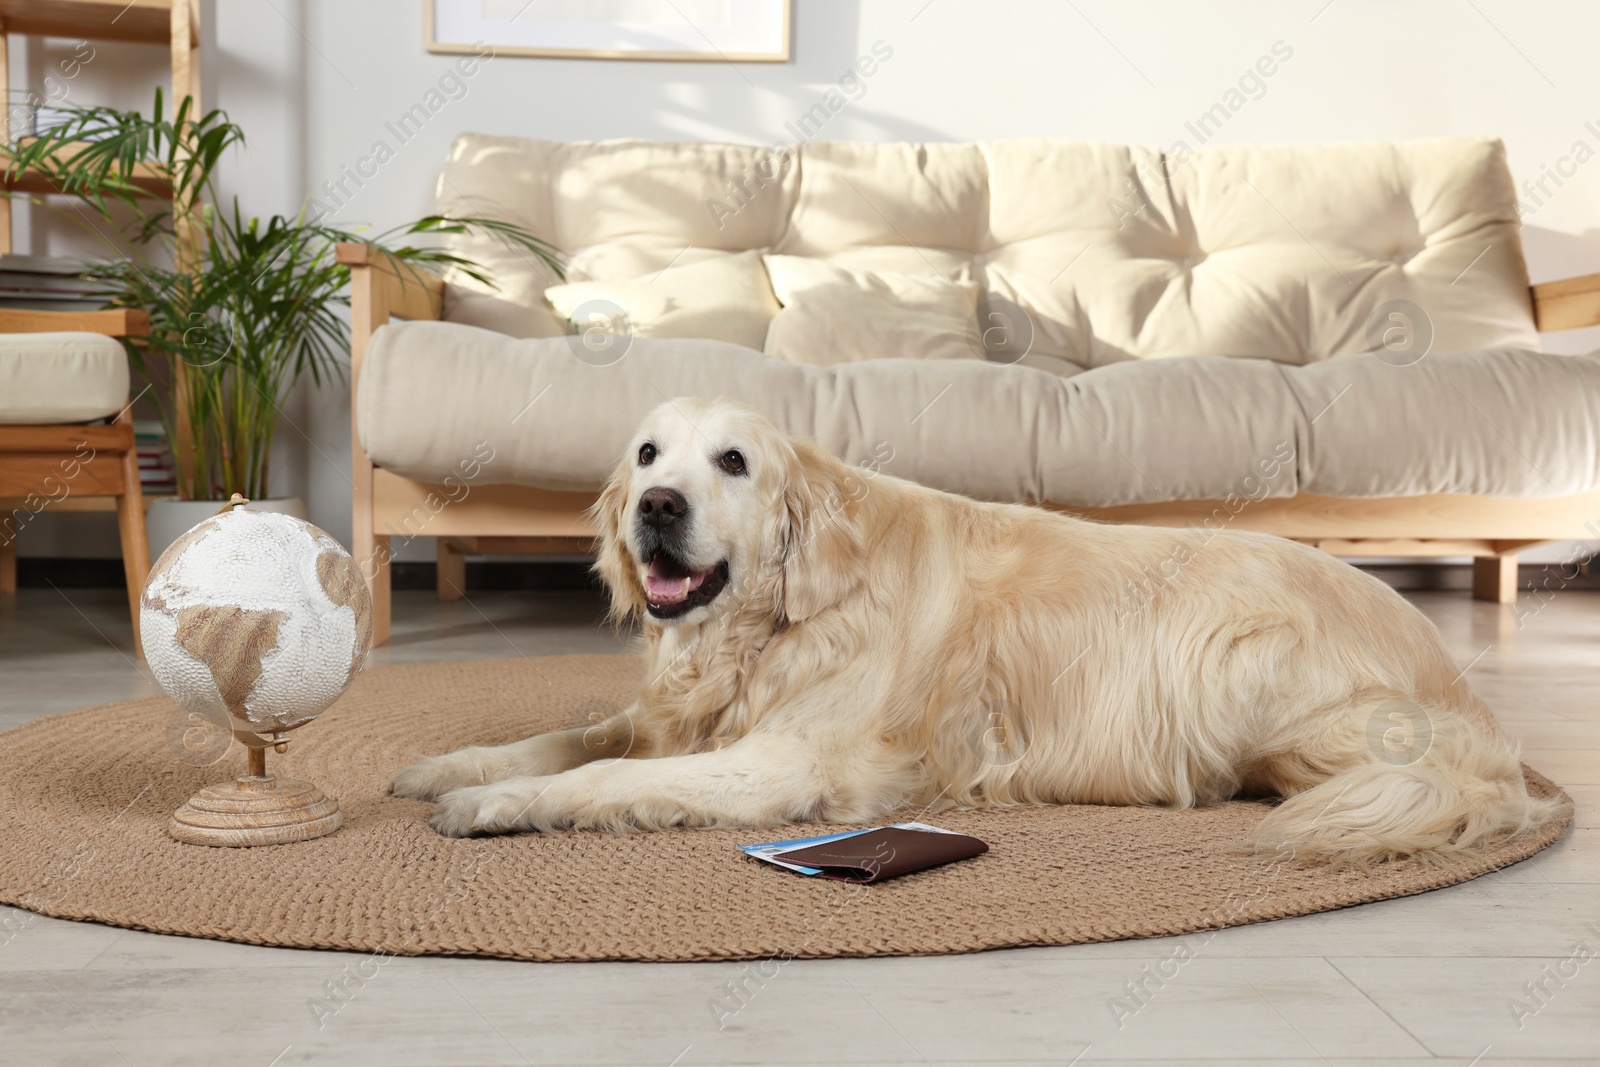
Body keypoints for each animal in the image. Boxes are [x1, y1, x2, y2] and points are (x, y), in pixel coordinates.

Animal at [393, 396, 1568, 863]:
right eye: (646, 454)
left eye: (732, 461)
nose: (657, 507)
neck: (780, 624)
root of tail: (1471, 704)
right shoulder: (674, 713)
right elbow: (571, 736)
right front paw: (450, 764)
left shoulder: (785, 763)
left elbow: (600, 776)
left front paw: (491, 805)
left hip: (1245, 666)